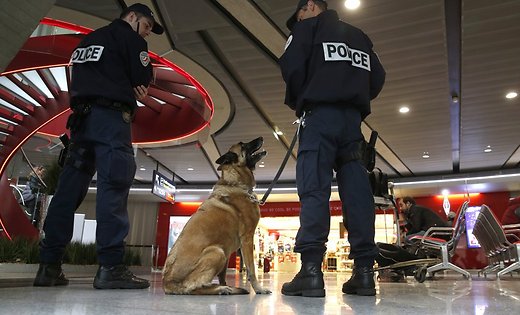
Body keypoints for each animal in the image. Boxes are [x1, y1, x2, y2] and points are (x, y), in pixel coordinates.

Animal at [162, 138, 270, 296]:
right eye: (243, 145)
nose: (261, 138)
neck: (236, 182)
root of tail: (167, 282)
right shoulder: (247, 239)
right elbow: (251, 269)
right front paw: (259, 289)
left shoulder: (228, 248)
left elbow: (222, 275)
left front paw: (226, 284)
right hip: (217, 252)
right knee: (191, 287)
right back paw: (221, 289)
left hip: (222, 252)